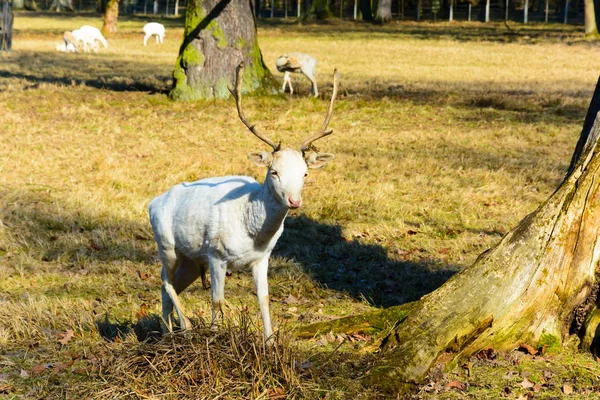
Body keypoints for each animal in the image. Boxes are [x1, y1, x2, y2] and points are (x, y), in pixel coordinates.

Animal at [148, 62, 340, 340]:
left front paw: (269, 342)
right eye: (274, 172)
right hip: (167, 244)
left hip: (191, 259)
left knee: (168, 286)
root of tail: (153, 202)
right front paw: (215, 335)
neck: (252, 234)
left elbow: (264, 298)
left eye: (305, 173)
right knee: (165, 280)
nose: (294, 200)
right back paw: (186, 325)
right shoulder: (216, 254)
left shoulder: (262, 258)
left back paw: (168, 333)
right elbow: (217, 300)